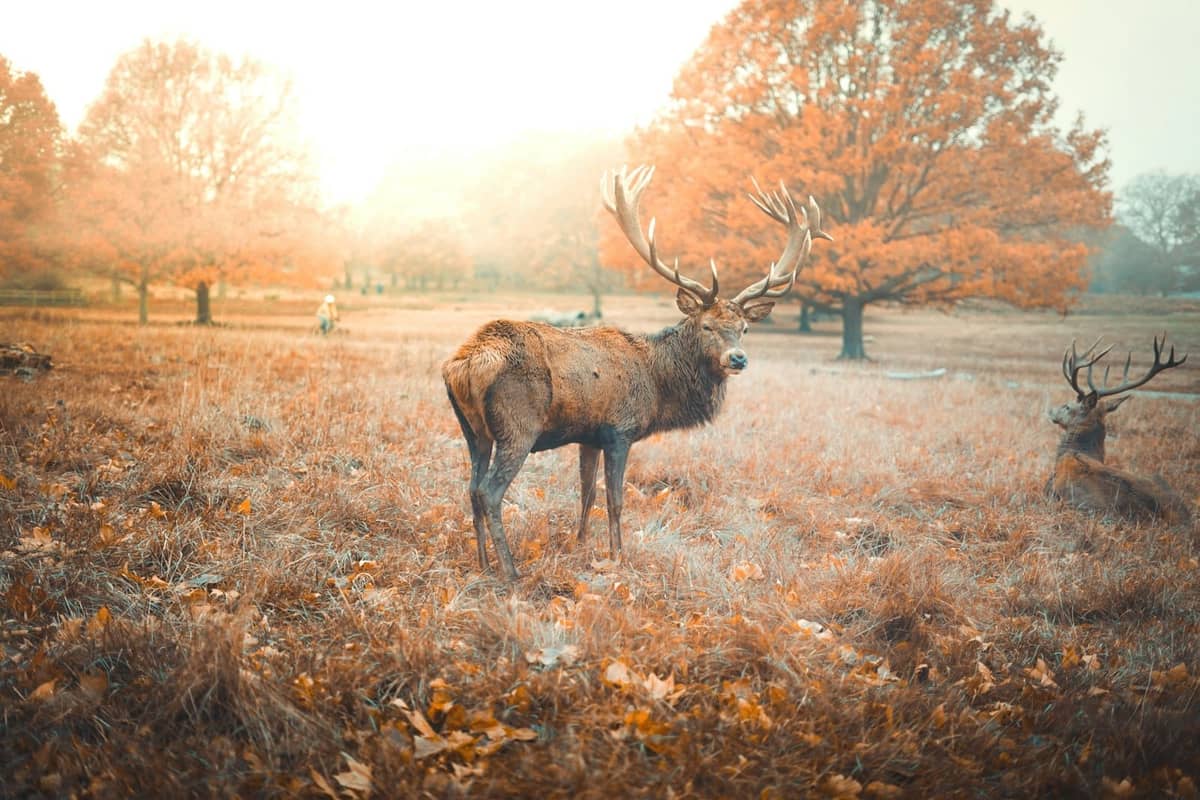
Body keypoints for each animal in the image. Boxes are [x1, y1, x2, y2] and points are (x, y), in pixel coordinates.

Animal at [443, 166, 832, 579]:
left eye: (744, 328)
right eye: (706, 325)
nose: (738, 359)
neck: (657, 384)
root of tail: (465, 362)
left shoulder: (588, 435)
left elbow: (587, 492)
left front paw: (581, 545)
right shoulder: (620, 429)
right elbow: (615, 500)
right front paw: (618, 557)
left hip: (472, 429)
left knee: (472, 487)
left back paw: (482, 562)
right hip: (518, 425)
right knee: (490, 491)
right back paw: (510, 571)